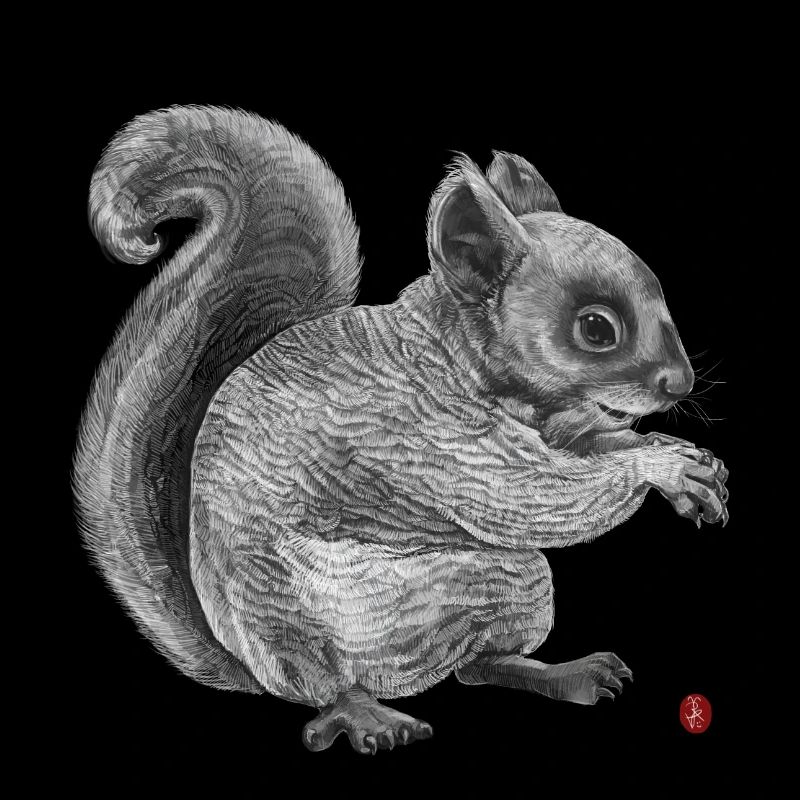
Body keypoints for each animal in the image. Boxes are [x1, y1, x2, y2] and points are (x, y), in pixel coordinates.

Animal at [74, 105, 729, 755]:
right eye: (596, 329)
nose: (680, 384)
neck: (450, 352)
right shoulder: (434, 440)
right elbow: (530, 498)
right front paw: (660, 467)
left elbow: (583, 447)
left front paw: (677, 457)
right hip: (296, 623)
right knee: (327, 688)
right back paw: (367, 716)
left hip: (515, 586)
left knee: (479, 664)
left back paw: (566, 673)